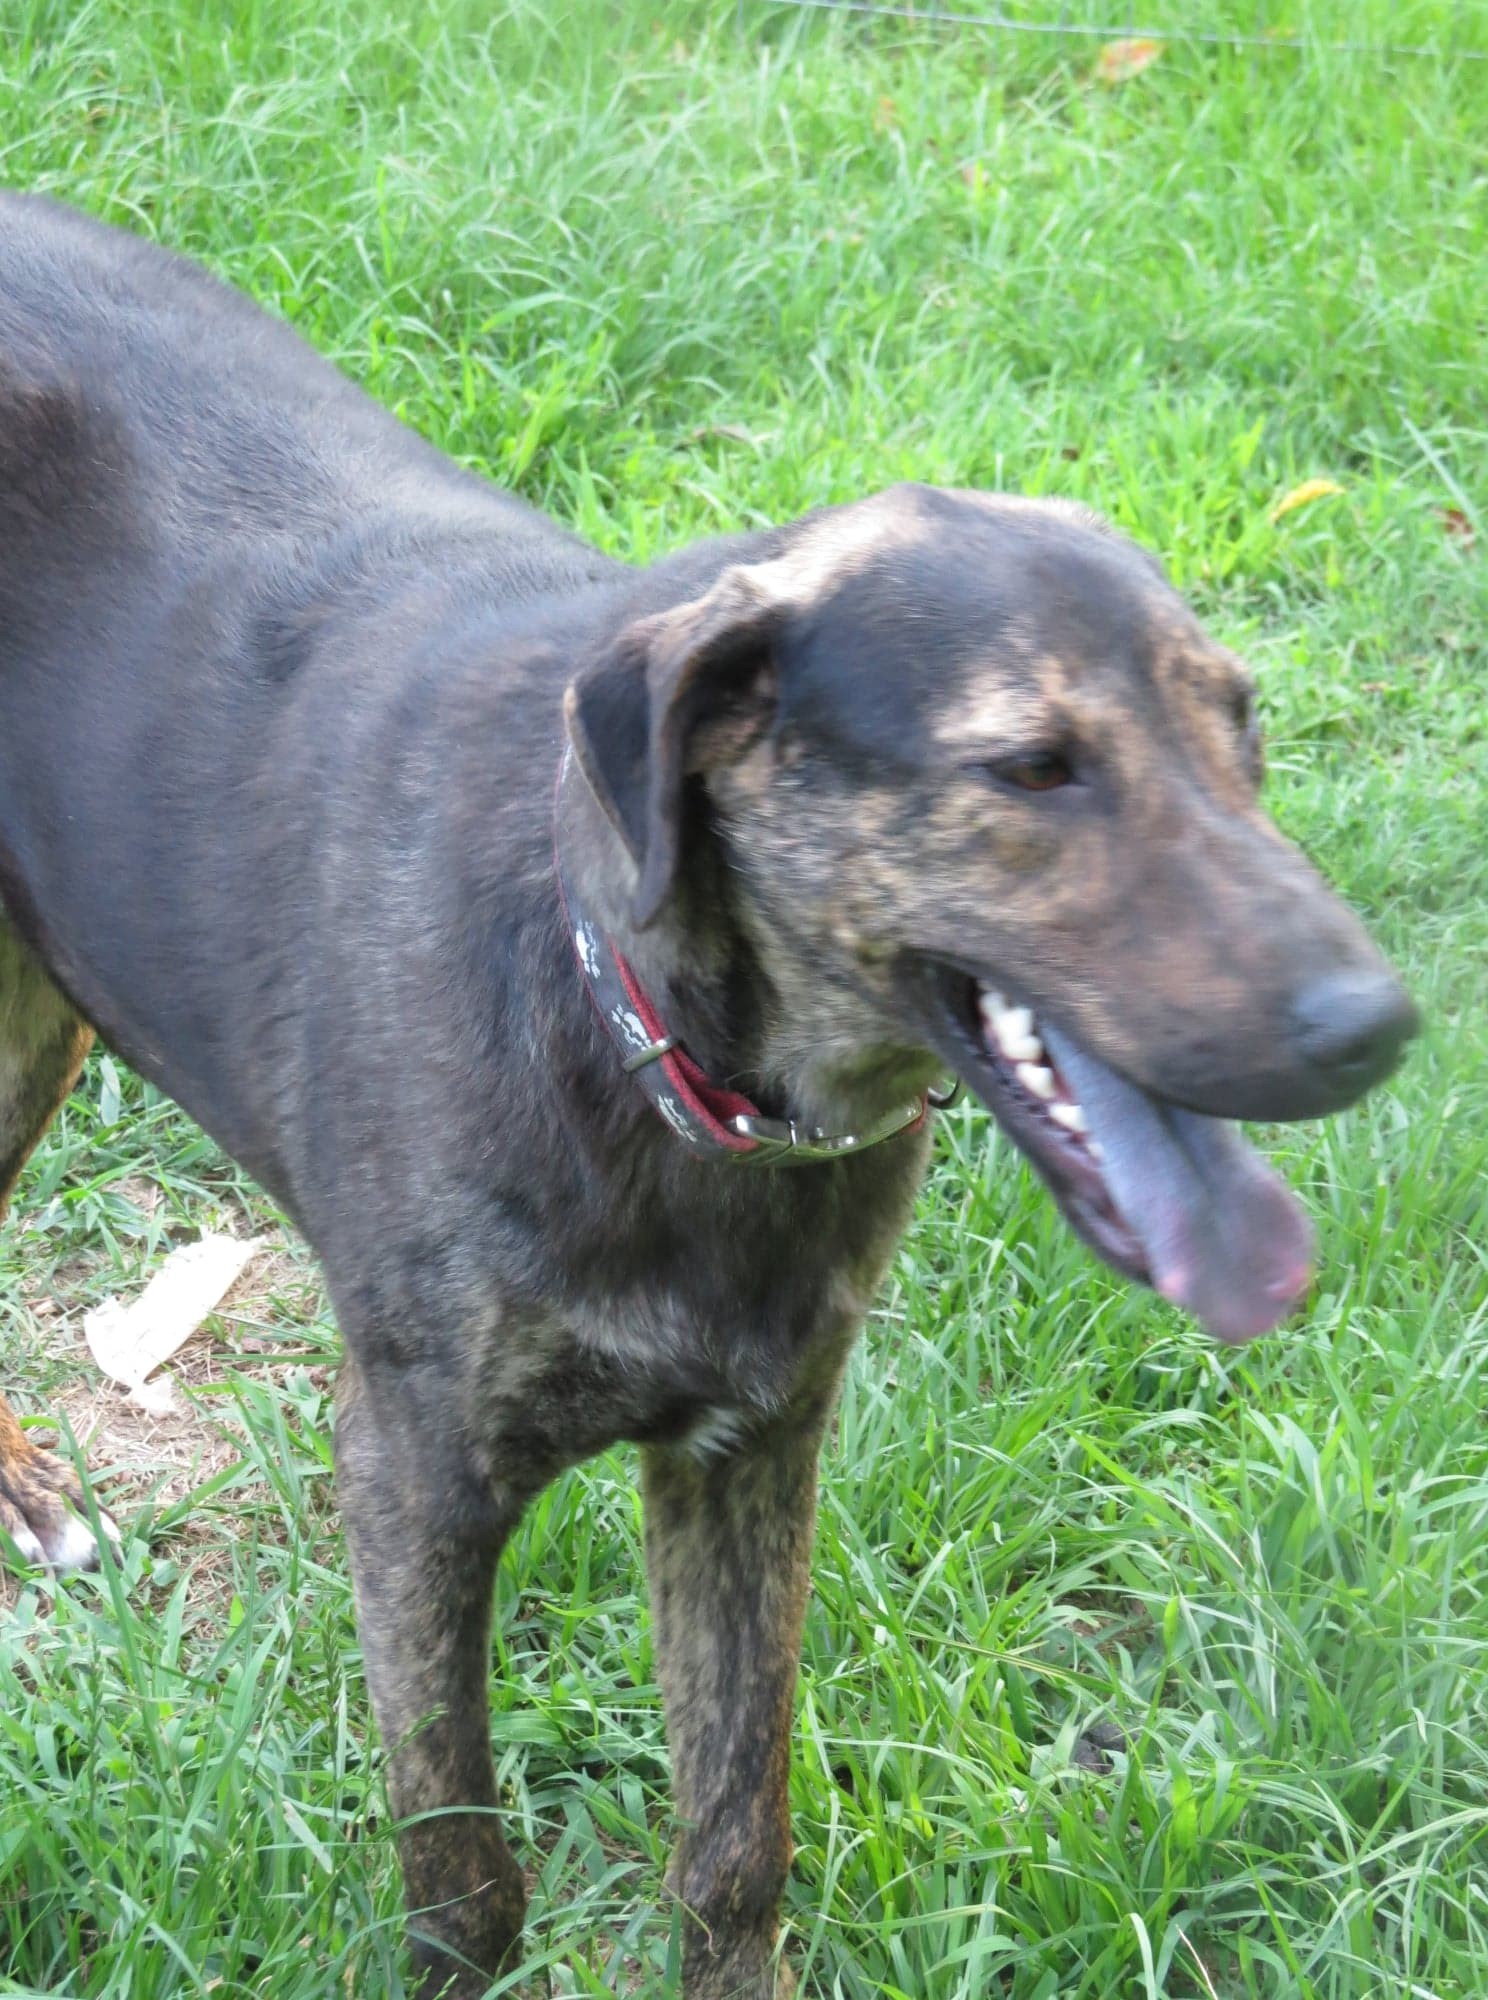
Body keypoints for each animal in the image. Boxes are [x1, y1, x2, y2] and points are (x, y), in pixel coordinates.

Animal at [2, 191, 1416, 2000]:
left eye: (1241, 726)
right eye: (1032, 767)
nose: (1373, 1025)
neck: (649, 1048)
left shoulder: (751, 1451)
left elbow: (735, 1839)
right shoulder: (409, 1483)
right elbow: (464, 1871)